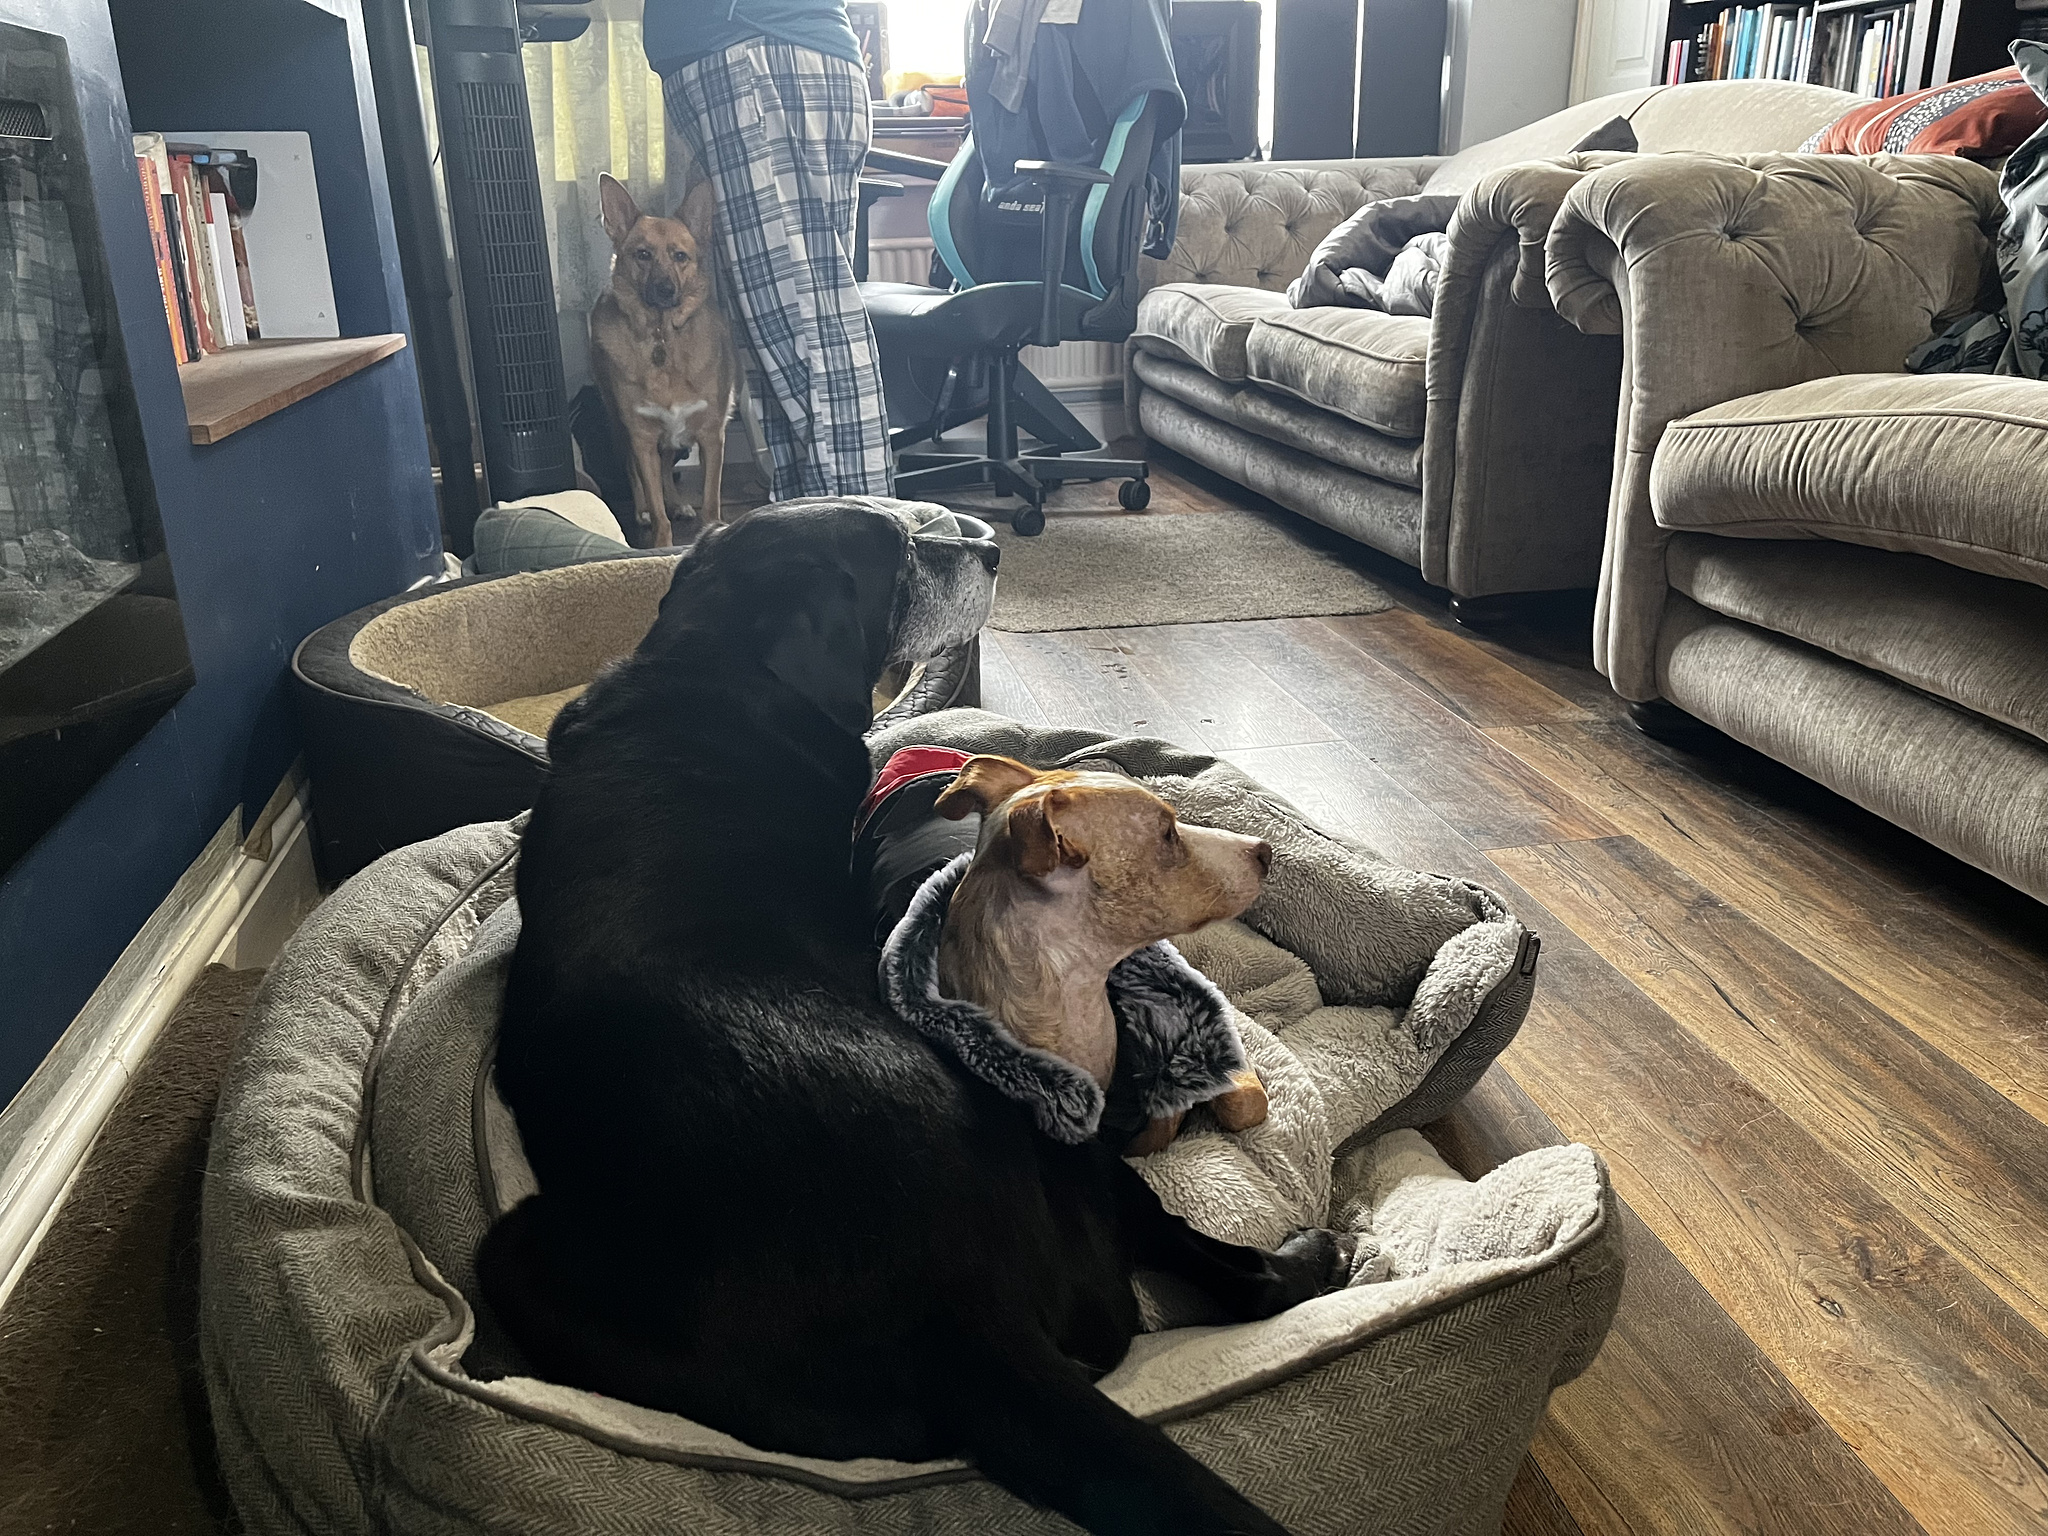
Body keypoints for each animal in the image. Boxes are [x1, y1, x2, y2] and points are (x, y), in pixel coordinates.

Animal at [593, 173, 737, 548]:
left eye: (680, 256)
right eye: (642, 254)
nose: (665, 290)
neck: (662, 336)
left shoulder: (711, 434)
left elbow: (711, 501)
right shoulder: (641, 436)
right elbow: (658, 510)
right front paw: (660, 544)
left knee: (667, 463)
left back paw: (678, 503)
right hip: (618, 424)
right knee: (636, 469)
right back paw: (643, 509)